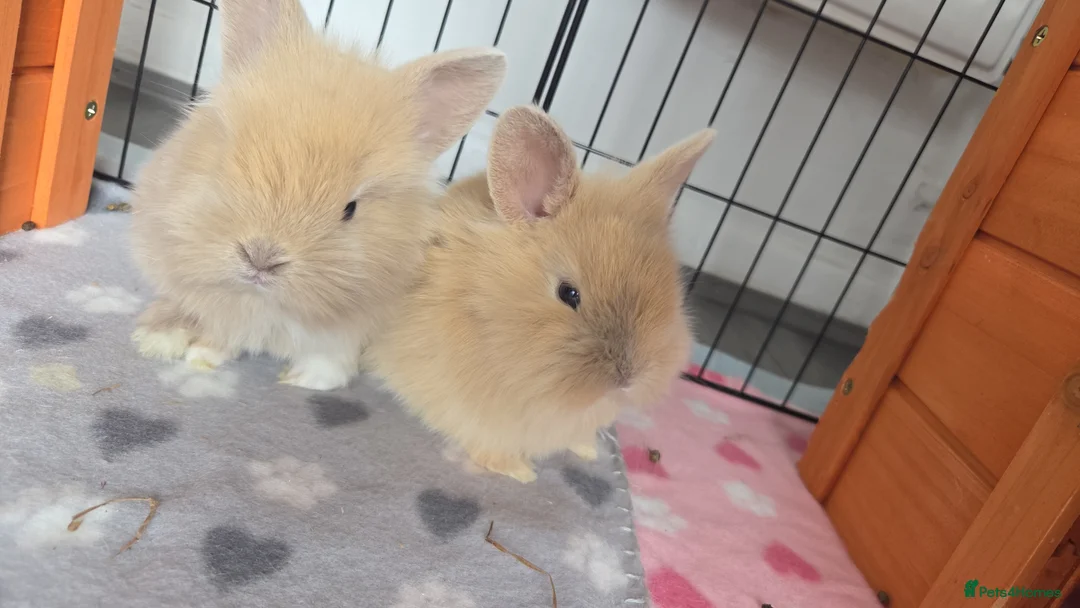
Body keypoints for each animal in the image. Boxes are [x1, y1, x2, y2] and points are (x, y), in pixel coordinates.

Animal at [128, 0, 506, 391]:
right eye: (227, 164)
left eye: (350, 209)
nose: (261, 258)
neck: (263, 302)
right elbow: (223, 331)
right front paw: (202, 357)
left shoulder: (350, 330)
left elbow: (330, 360)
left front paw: (302, 380)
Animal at [364, 105, 715, 482]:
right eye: (568, 293)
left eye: (670, 290)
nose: (629, 378)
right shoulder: (473, 413)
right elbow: (487, 445)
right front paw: (522, 473)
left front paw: (587, 450)